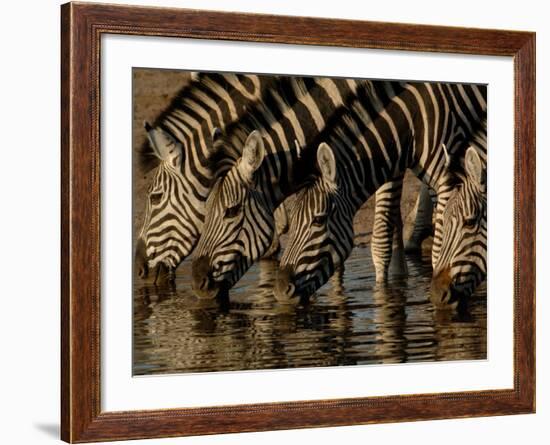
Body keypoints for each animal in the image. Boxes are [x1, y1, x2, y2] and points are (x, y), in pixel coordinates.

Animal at [191, 78, 410, 298]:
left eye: (232, 211)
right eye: (205, 211)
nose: (199, 284)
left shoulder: (390, 152)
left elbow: (381, 237)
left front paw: (384, 292)